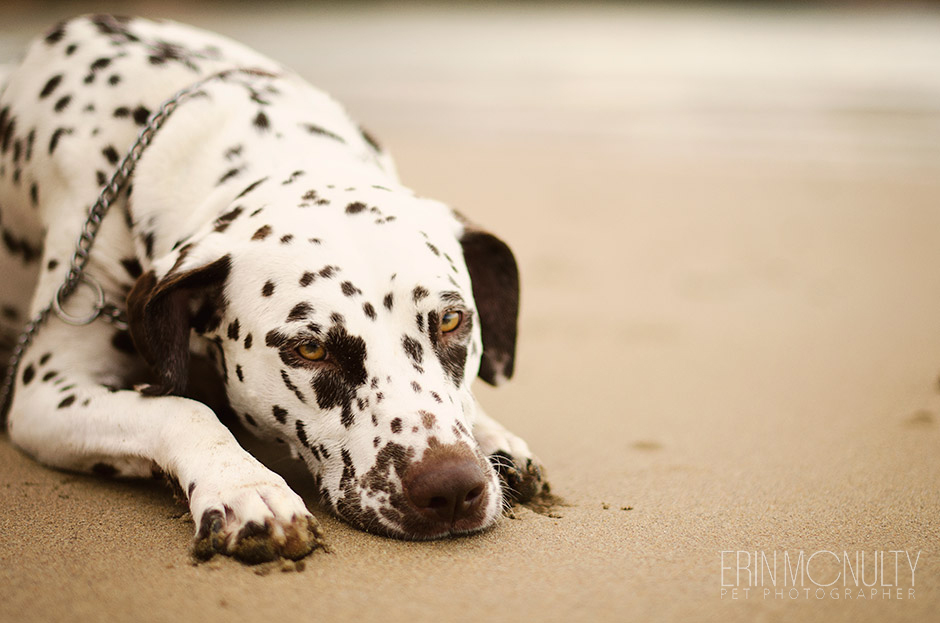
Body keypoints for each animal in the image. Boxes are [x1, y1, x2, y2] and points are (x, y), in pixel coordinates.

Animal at [0, 14, 544, 564]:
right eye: (311, 349)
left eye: (452, 321)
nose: (451, 487)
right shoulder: (45, 393)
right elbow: (180, 408)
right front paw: (245, 486)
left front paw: (492, 432)